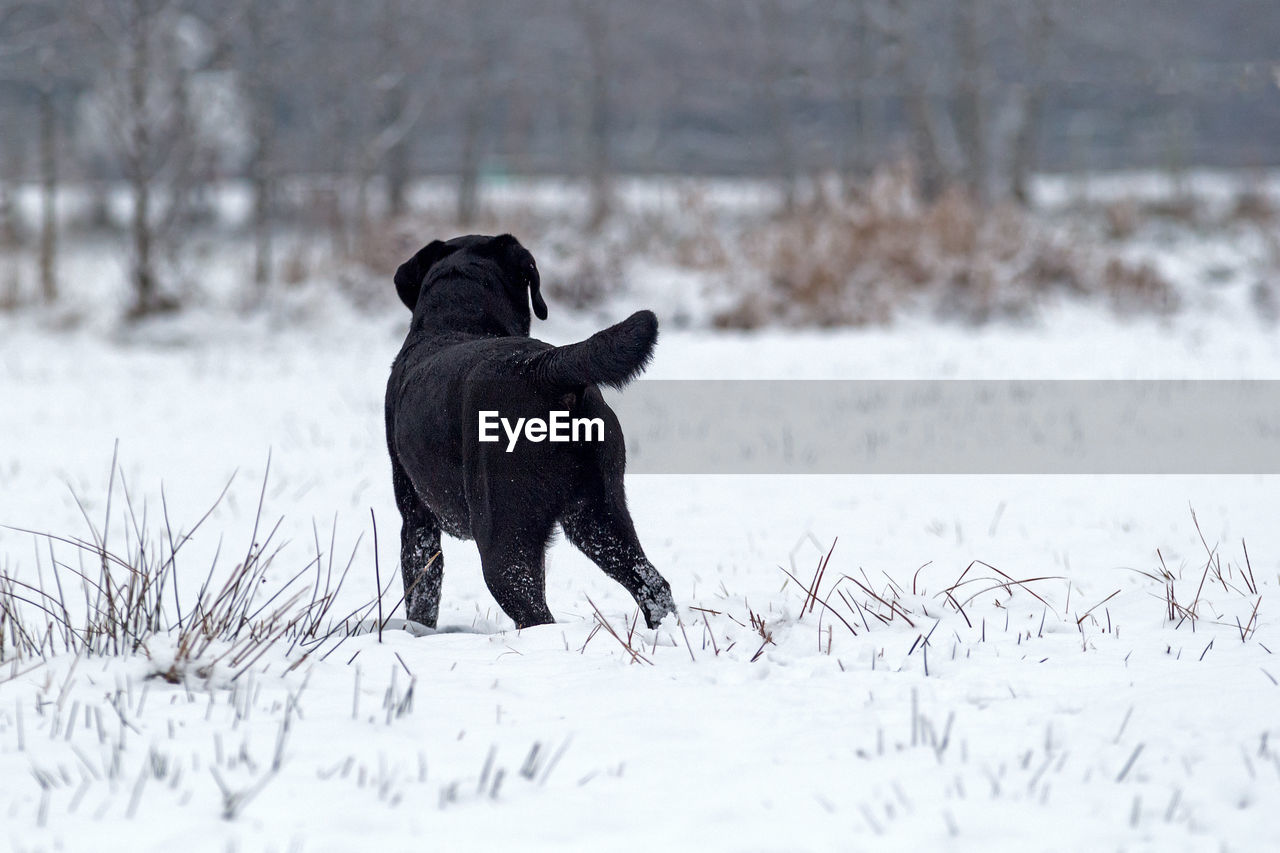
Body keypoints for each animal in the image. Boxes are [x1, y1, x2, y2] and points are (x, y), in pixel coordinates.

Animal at [381, 235, 675, 627]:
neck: (459, 320)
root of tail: (542, 369)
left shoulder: (416, 519)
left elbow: (422, 596)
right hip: (599, 514)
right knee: (652, 584)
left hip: (503, 538)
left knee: (536, 612)